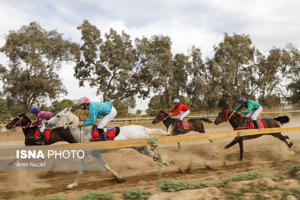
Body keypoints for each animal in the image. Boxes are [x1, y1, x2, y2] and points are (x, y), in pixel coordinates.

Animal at [45, 108, 175, 189]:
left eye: (57, 115)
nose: (46, 123)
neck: (84, 132)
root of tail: (143, 128)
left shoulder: (87, 155)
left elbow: (80, 170)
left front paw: (72, 185)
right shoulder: (96, 154)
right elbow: (106, 166)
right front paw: (119, 177)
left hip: (142, 147)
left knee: (155, 154)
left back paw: (167, 162)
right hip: (141, 148)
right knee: (153, 152)